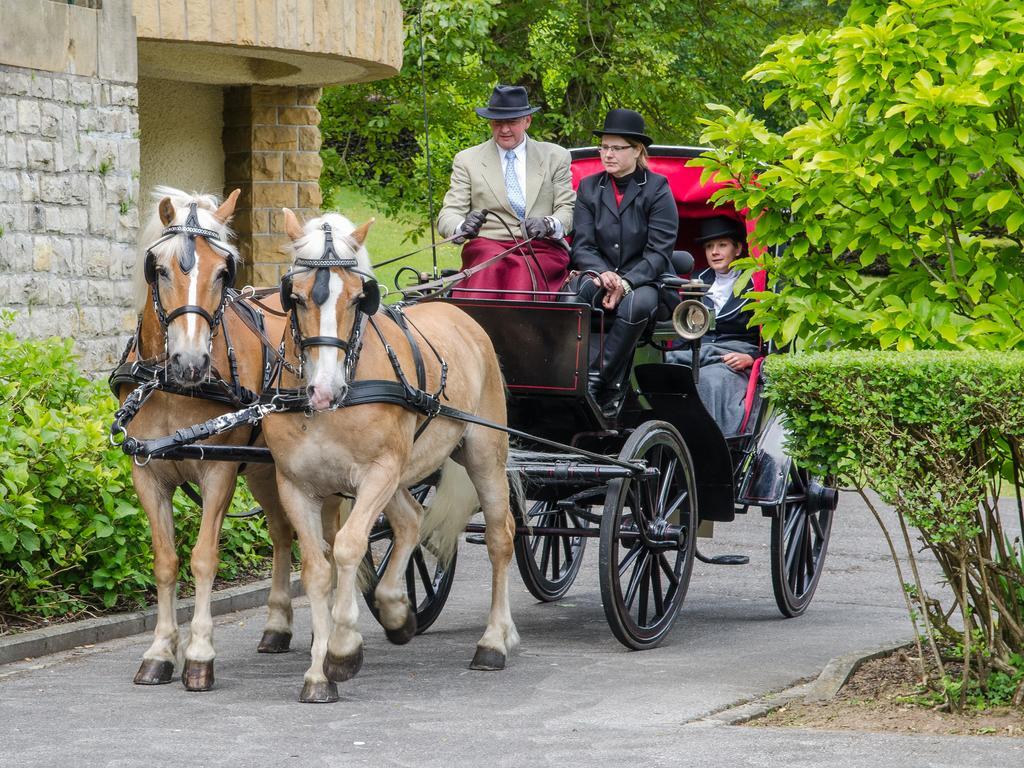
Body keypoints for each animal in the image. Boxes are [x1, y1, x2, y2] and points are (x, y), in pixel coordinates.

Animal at [262, 208, 520, 704]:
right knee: (411, 521)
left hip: (482, 454)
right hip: (403, 473)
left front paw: (344, 648)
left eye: (358, 297)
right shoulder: (295, 486)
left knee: (500, 538)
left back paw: (495, 641)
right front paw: (318, 674)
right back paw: (397, 608)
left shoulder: (376, 474)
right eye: (296, 297)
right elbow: (318, 569)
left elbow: (348, 546)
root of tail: (457, 312)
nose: (323, 390)